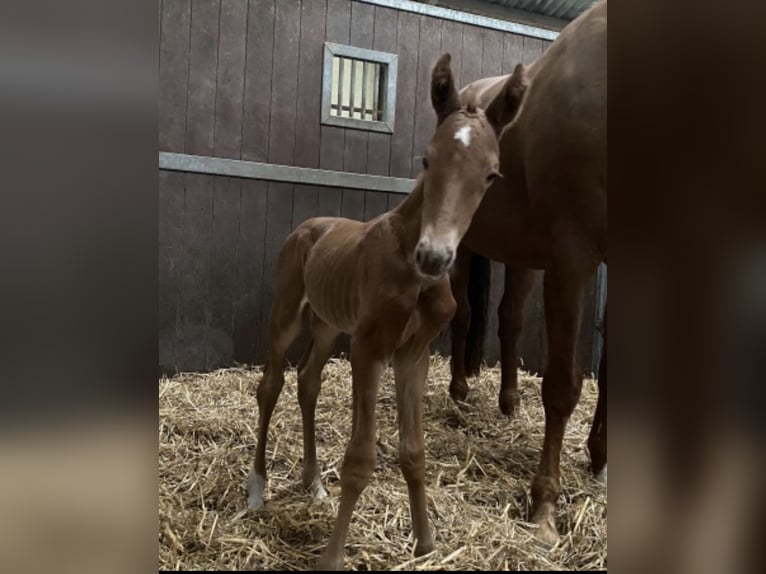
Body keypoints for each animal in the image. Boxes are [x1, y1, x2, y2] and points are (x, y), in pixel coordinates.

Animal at [246, 55, 528, 572]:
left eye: (492, 175)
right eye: (427, 159)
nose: (434, 257)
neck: (412, 273)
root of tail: (309, 226)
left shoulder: (412, 353)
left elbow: (413, 451)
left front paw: (426, 544)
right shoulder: (370, 348)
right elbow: (360, 458)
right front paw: (332, 557)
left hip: (328, 325)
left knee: (308, 380)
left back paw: (313, 482)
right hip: (288, 313)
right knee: (271, 384)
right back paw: (257, 489)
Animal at [450, 0, 608, 548]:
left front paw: (600, 456)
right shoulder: (572, 258)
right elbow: (562, 385)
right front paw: (544, 506)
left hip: (522, 257)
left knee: (509, 318)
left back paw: (509, 401)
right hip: (466, 248)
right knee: (463, 313)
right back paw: (459, 392)